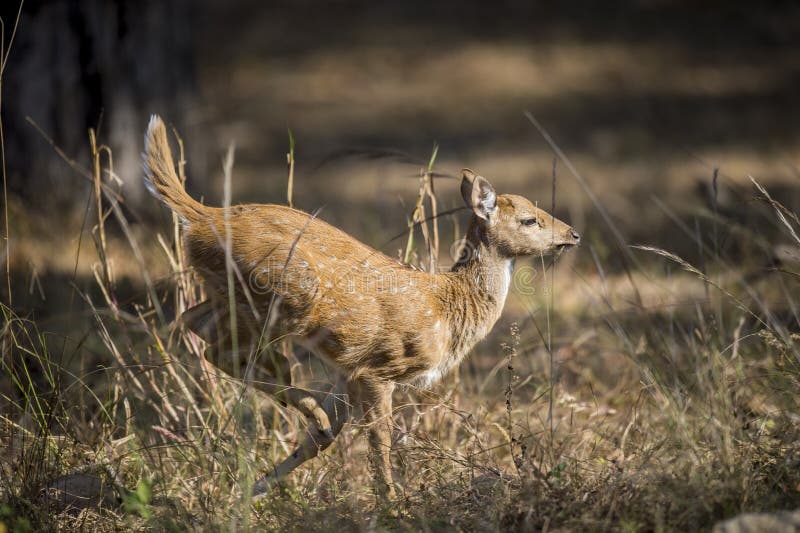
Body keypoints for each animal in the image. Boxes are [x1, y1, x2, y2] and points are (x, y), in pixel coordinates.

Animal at [142, 115, 580, 500]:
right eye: (529, 220)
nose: (573, 234)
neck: (449, 308)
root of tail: (202, 216)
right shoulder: (378, 367)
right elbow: (380, 440)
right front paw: (391, 504)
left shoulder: (345, 370)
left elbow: (327, 437)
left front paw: (252, 490)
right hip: (278, 293)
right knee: (218, 347)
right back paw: (303, 404)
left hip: (233, 294)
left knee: (193, 321)